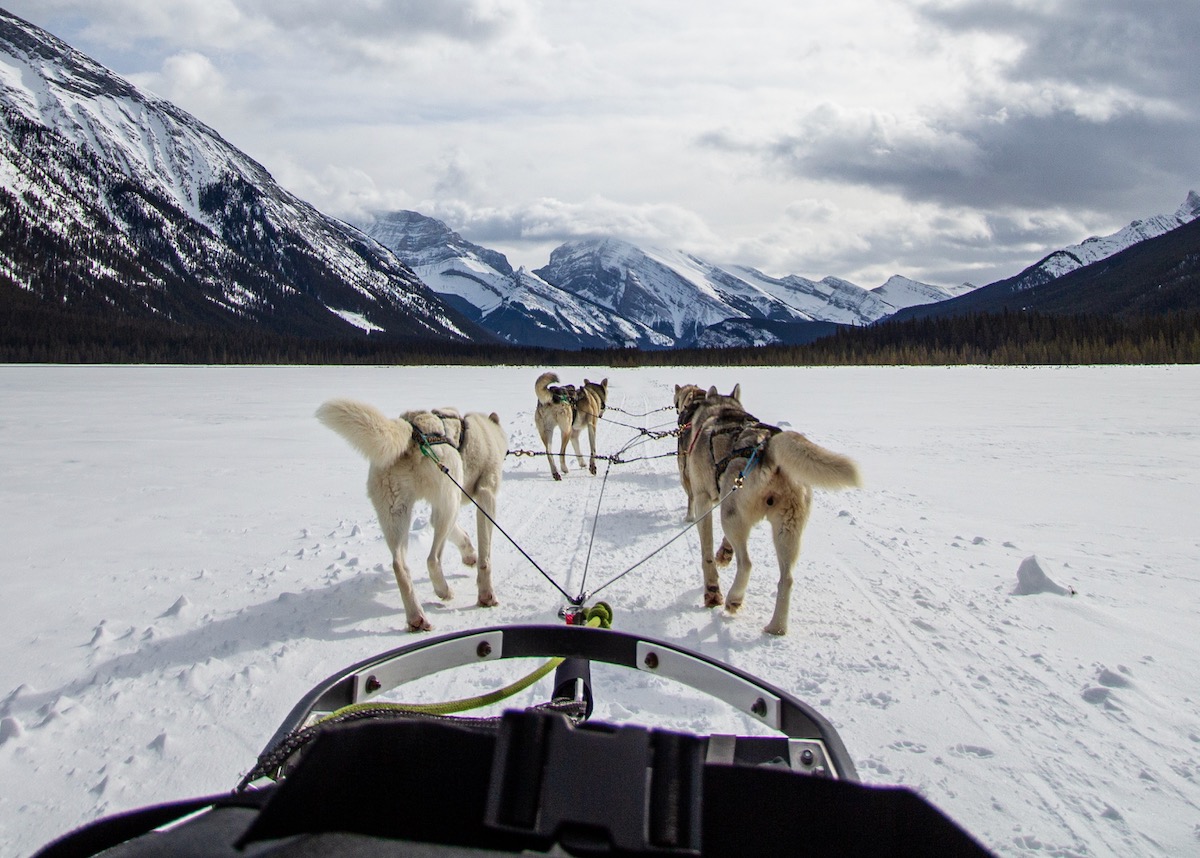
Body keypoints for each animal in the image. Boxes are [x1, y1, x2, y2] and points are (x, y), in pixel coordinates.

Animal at [314, 398, 506, 633]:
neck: (484, 433)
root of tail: (412, 430)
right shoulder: (486, 497)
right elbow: (485, 557)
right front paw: (486, 596)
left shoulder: (440, 507)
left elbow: (462, 536)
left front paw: (469, 554)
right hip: (449, 503)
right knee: (432, 559)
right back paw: (443, 591)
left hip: (398, 514)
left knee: (400, 565)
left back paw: (417, 617)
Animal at [681, 386, 859, 633]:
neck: (720, 411)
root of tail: (767, 446)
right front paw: (724, 553)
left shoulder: (703, 500)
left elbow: (706, 555)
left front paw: (712, 591)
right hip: (786, 530)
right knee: (787, 579)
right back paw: (776, 627)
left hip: (730, 516)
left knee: (746, 563)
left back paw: (734, 598)